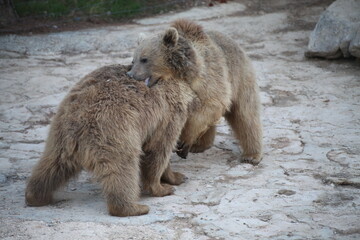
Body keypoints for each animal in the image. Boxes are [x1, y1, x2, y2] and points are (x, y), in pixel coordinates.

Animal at [24, 63, 200, 218]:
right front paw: (164, 186)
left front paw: (178, 176)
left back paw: (35, 195)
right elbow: (158, 150)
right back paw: (133, 207)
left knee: (50, 165)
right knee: (123, 170)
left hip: (59, 137)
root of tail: (77, 124)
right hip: (114, 131)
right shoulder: (167, 115)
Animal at [128, 19, 262, 164]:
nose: (131, 74)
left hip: (240, 78)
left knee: (245, 115)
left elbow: (212, 104)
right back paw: (200, 145)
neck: (183, 73)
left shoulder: (209, 78)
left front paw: (183, 141)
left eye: (144, 59)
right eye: (133, 60)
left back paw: (251, 155)